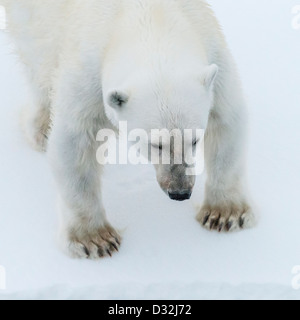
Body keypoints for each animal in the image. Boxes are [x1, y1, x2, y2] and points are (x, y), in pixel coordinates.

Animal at [2, 0, 255, 258]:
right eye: (155, 143)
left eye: (195, 140)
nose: (180, 192)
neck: (149, 17)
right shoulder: (86, 72)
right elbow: (74, 142)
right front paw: (95, 239)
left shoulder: (213, 50)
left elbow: (226, 120)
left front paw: (225, 215)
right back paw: (41, 127)